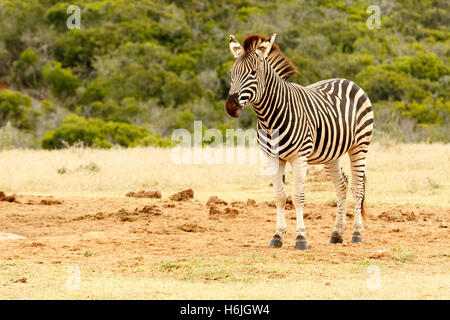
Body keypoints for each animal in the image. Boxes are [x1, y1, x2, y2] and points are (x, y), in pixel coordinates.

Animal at [227, 35, 374, 250]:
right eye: (231, 73)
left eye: (253, 73)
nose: (231, 107)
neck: (270, 118)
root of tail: (347, 80)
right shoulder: (272, 158)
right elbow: (279, 197)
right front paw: (277, 235)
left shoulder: (299, 157)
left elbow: (297, 196)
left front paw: (301, 237)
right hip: (331, 154)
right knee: (342, 185)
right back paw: (337, 233)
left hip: (359, 146)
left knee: (358, 187)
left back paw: (356, 233)